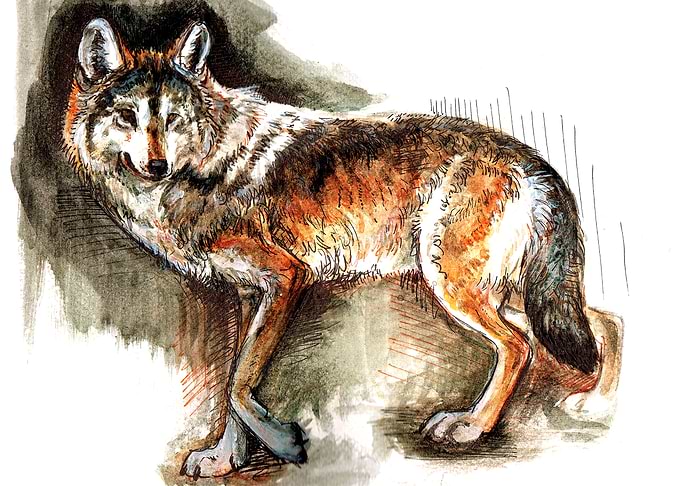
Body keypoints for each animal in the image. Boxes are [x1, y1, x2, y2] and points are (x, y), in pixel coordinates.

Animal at [62, 18, 604, 478]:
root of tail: (534, 161)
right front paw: (224, 460)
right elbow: (234, 384)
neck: (206, 166)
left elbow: (238, 386)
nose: (156, 166)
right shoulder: (249, 294)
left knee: (521, 345)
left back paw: (472, 427)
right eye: (127, 117)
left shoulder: (286, 278)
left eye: (174, 120)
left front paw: (284, 442)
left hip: (453, 284)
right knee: (592, 329)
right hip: (508, 291)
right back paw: (581, 404)